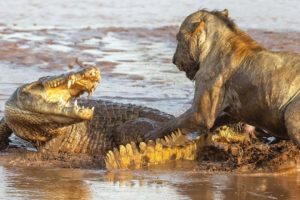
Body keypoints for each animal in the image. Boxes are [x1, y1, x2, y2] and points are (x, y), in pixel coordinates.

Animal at [144, 9, 298, 145]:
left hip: (291, 115)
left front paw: (149, 136)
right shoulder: (232, 112)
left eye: (178, 39)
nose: (174, 60)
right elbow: (218, 120)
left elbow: (173, 124)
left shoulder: (201, 113)